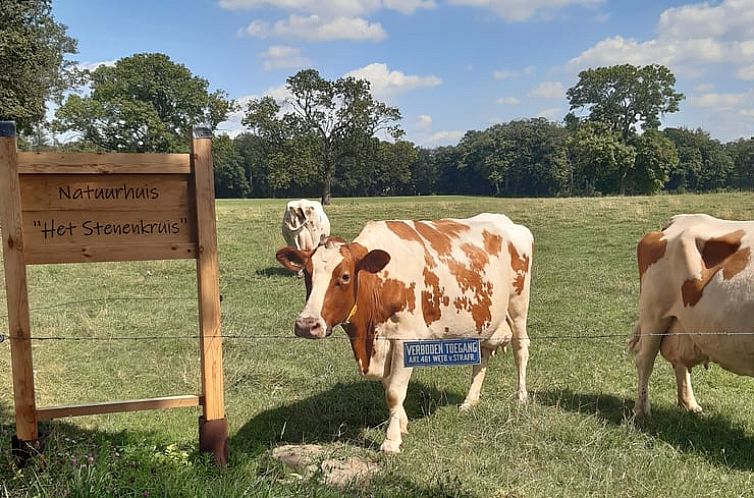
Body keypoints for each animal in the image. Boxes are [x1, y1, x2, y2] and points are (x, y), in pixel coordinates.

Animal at [274, 212, 532, 454]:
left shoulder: (405, 339)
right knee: (482, 356)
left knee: (521, 349)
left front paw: (391, 441)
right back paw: (470, 401)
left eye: (345, 276)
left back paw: (521, 397)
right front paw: (402, 424)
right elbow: (388, 385)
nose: (307, 324)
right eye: (307, 273)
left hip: (518, 307)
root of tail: (506, 221)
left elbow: (394, 392)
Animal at [628, 214, 752, 416]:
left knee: (679, 363)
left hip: (682, 321)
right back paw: (641, 410)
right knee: (644, 360)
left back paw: (690, 404)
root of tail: (679, 219)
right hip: (653, 314)